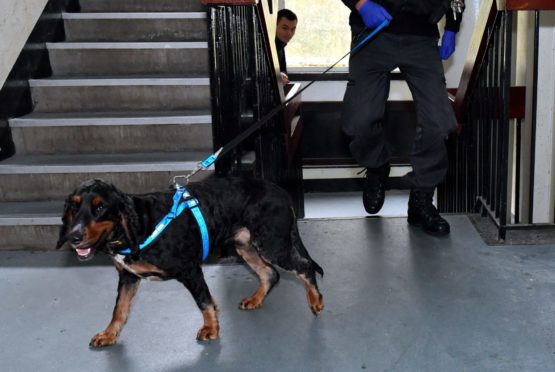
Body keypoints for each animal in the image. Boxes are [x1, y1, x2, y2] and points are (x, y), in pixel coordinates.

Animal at [56, 177, 324, 346]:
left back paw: (315, 301)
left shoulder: (190, 270)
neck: (140, 224)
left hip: (272, 244)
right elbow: (119, 309)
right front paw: (109, 334)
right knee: (270, 273)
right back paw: (255, 300)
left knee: (305, 266)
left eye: (101, 207)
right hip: (245, 245)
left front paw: (211, 329)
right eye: (74, 206)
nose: (74, 237)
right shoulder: (128, 277)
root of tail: (280, 191)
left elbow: (203, 301)